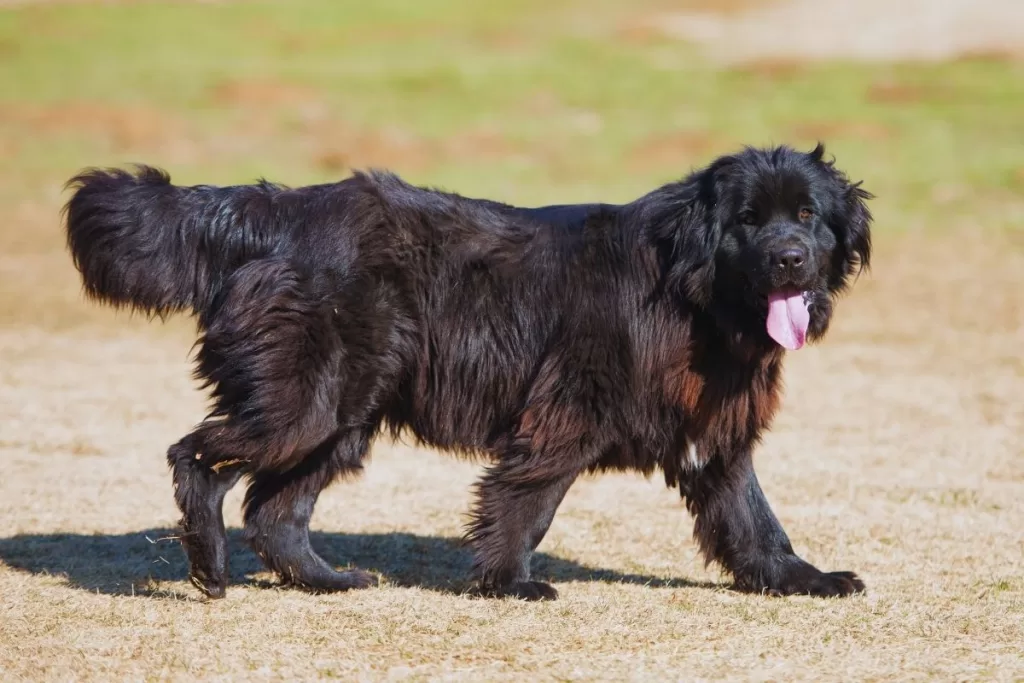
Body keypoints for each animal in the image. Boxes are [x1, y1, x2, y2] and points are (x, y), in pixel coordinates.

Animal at [61, 143, 872, 598]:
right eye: (747, 220)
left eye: (808, 215)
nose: (789, 259)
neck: (692, 287)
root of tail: (273, 212)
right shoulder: (565, 410)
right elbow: (527, 500)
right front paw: (508, 583)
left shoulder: (715, 430)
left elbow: (754, 518)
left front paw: (802, 580)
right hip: (305, 401)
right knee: (197, 459)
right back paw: (209, 567)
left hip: (343, 413)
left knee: (275, 511)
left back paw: (328, 581)